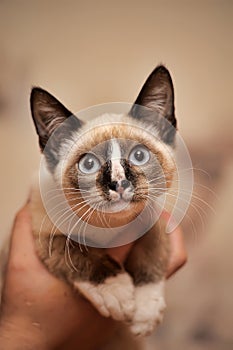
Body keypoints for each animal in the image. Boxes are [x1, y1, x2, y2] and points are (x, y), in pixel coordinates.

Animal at [2, 65, 177, 344]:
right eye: (89, 164)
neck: (111, 229)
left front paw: (144, 311)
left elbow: (150, 251)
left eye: (139, 155)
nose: (119, 183)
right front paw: (117, 292)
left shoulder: (151, 217)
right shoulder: (43, 232)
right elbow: (77, 251)